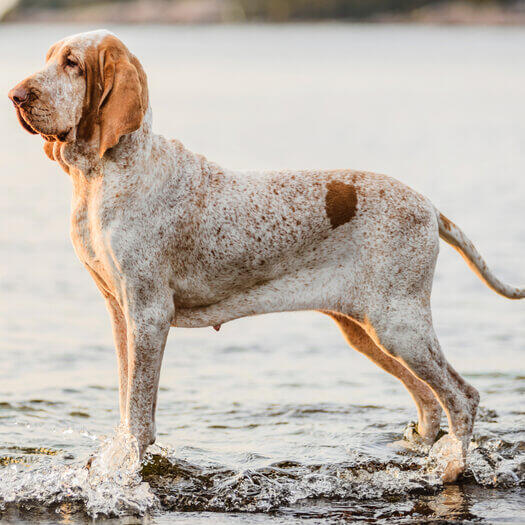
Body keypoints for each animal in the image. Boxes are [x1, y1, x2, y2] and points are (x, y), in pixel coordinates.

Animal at [9, 29, 524, 484]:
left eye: (72, 63)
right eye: (50, 57)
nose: (15, 95)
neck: (104, 175)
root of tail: (430, 206)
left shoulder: (149, 314)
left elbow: (138, 416)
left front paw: (125, 473)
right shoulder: (121, 313)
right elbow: (125, 403)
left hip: (400, 324)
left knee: (463, 397)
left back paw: (452, 470)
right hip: (369, 330)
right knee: (430, 402)